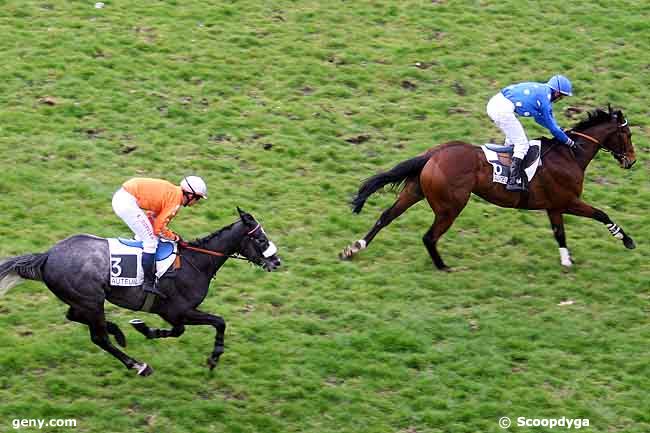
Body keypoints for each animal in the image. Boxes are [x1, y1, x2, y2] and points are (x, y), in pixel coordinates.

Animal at [0, 208, 278, 374]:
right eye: (261, 240)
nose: (276, 262)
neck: (196, 262)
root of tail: (47, 255)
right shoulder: (177, 310)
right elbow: (215, 322)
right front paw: (213, 358)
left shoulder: (178, 313)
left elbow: (188, 329)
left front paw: (145, 328)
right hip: (91, 301)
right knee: (99, 338)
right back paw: (136, 364)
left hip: (84, 300)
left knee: (75, 317)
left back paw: (118, 331)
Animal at [342, 106, 636, 268]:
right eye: (628, 134)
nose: (631, 161)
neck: (569, 155)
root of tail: (434, 153)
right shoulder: (568, 201)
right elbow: (602, 214)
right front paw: (627, 240)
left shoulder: (554, 206)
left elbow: (559, 233)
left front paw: (566, 261)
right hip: (450, 206)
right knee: (428, 236)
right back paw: (442, 266)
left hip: (415, 191)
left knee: (386, 217)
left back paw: (354, 248)